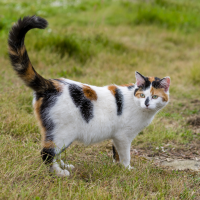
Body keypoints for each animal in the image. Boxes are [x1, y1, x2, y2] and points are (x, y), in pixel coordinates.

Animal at [7, 16, 170, 177]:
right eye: (142, 95)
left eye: (154, 97)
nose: (147, 103)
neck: (138, 105)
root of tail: (50, 84)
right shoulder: (123, 136)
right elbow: (125, 155)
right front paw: (127, 169)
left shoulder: (116, 136)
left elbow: (116, 153)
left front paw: (117, 167)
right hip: (63, 132)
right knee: (47, 152)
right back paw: (60, 172)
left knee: (55, 152)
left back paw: (64, 165)